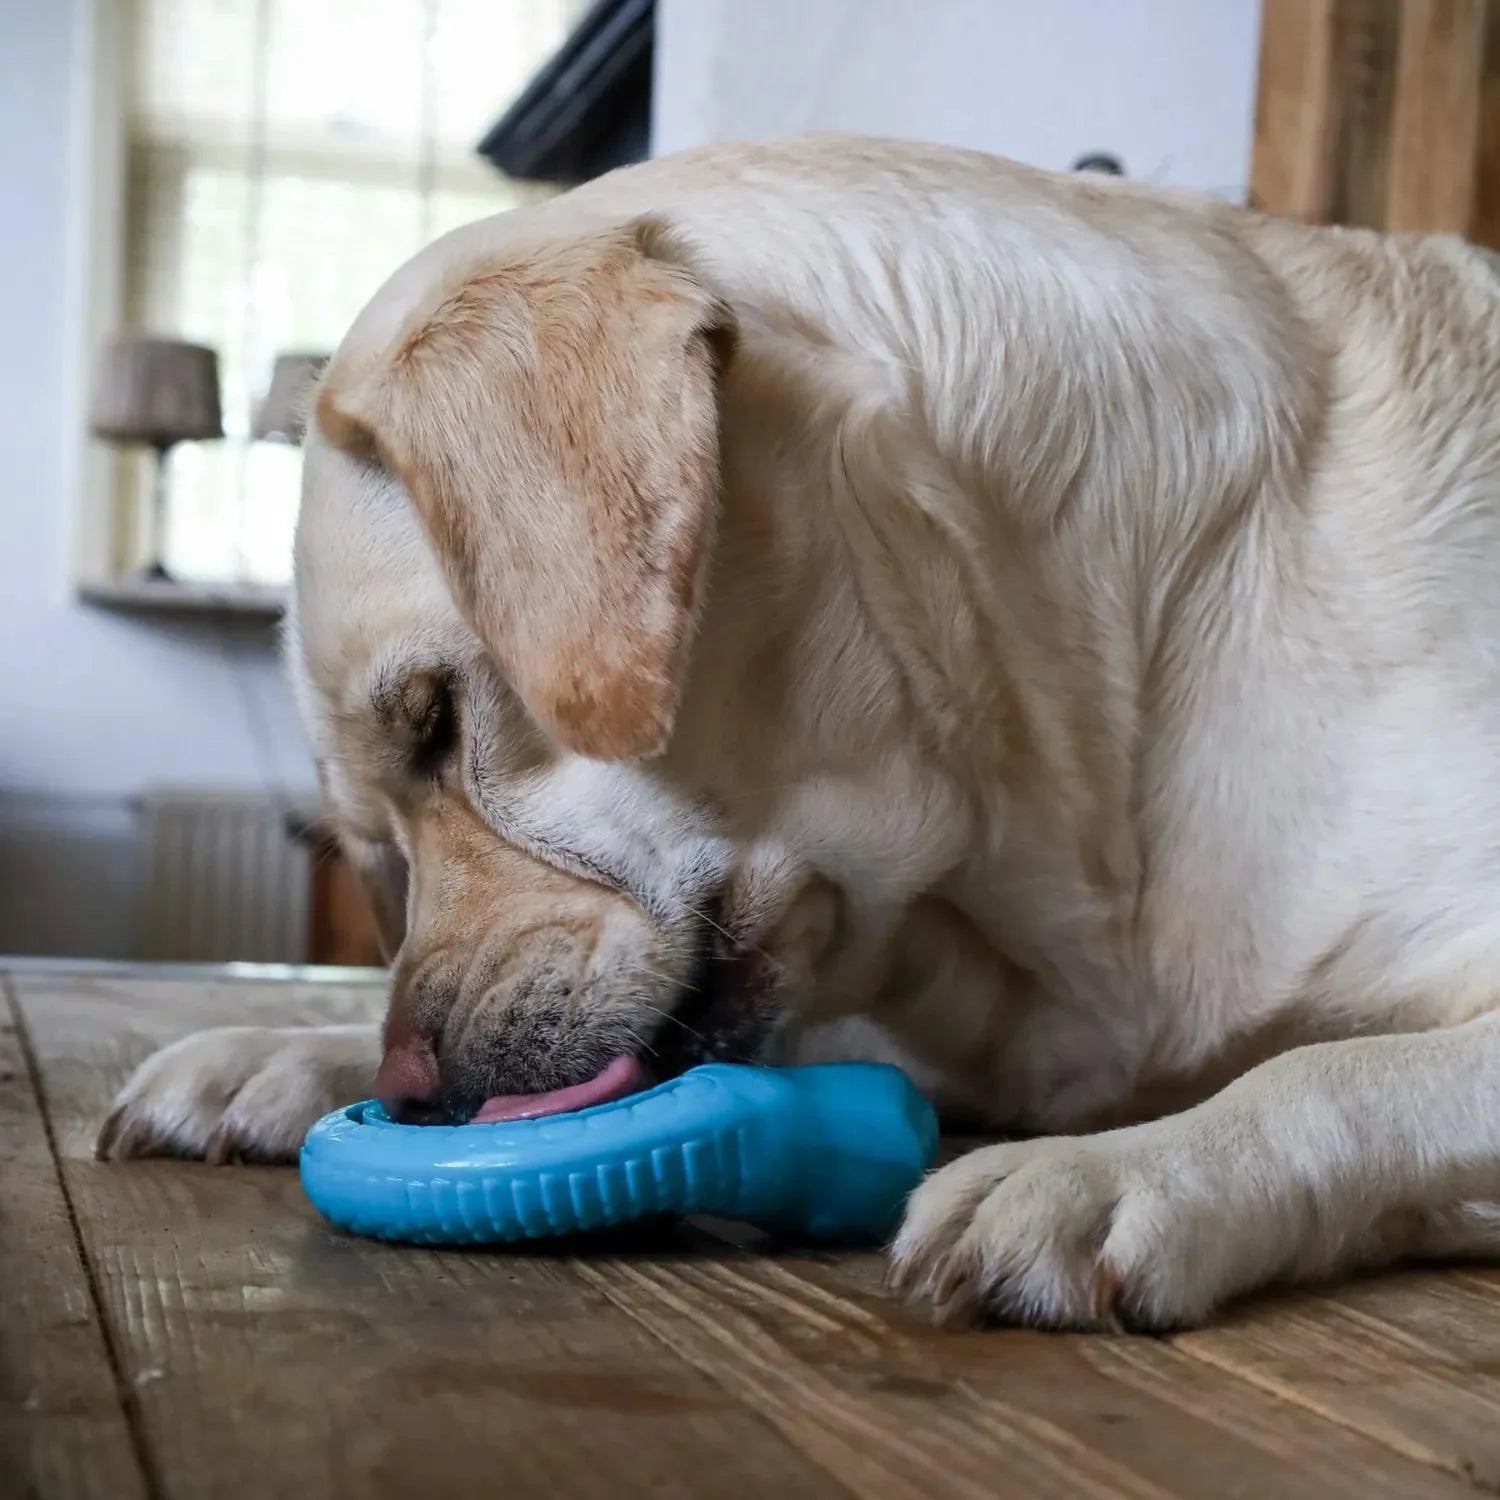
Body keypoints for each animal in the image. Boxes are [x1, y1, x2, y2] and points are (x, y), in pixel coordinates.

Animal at [102, 135, 1500, 1332]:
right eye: (373, 848)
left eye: (441, 723)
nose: (404, 1090)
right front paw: (277, 1052)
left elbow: (1324, 1074)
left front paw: (1115, 1171)